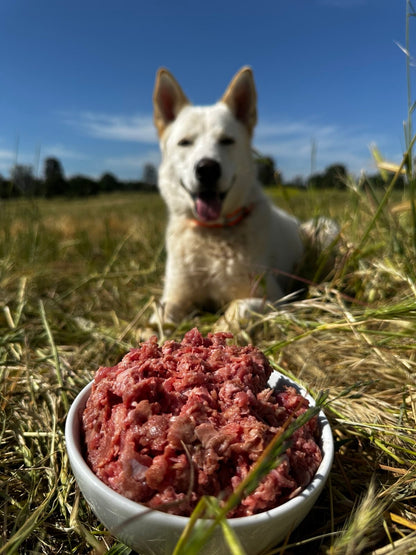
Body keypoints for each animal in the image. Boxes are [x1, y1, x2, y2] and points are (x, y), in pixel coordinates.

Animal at [153, 67, 338, 324]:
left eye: (226, 141)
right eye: (185, 142)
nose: (207, 169)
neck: (212, 235)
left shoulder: (274, 298)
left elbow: (238, 308)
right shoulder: (173, 296)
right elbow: (158, 318)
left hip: (326, 227)